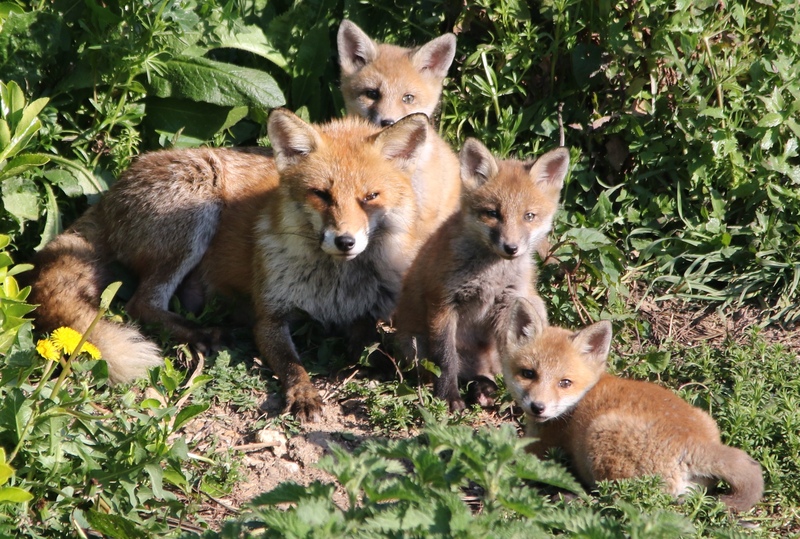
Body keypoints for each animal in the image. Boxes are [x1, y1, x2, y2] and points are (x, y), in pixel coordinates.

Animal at [26, 109, 428, 422]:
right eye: (321, 195)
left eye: (370, 197)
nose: (345, 241)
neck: (334, 285)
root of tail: (114, 189)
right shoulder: (269, 318)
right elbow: (292, 364)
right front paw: (304, 394)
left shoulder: (365, 315)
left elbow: (379, 347)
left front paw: (409, 372)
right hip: (197, 211)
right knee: (143, 303)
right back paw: (203, 333)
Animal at [393, 138, 569, 411]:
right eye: (492, 213)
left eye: (529, 216)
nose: (511, 248)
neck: (491, 276)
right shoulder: (442, 303)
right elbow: (445, 359)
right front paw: (448, 397)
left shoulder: (507, 306)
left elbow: (513, 359)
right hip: (413, 344)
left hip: (532, 304)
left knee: (489, 372)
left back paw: (485, 390)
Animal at [501, 299, 764, 512]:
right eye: (528, 373)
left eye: (564, 383)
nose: (538, 407)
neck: (580, 400)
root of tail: (695, 442)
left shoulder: (538, 450)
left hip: (601, 436)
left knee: (620, 502)